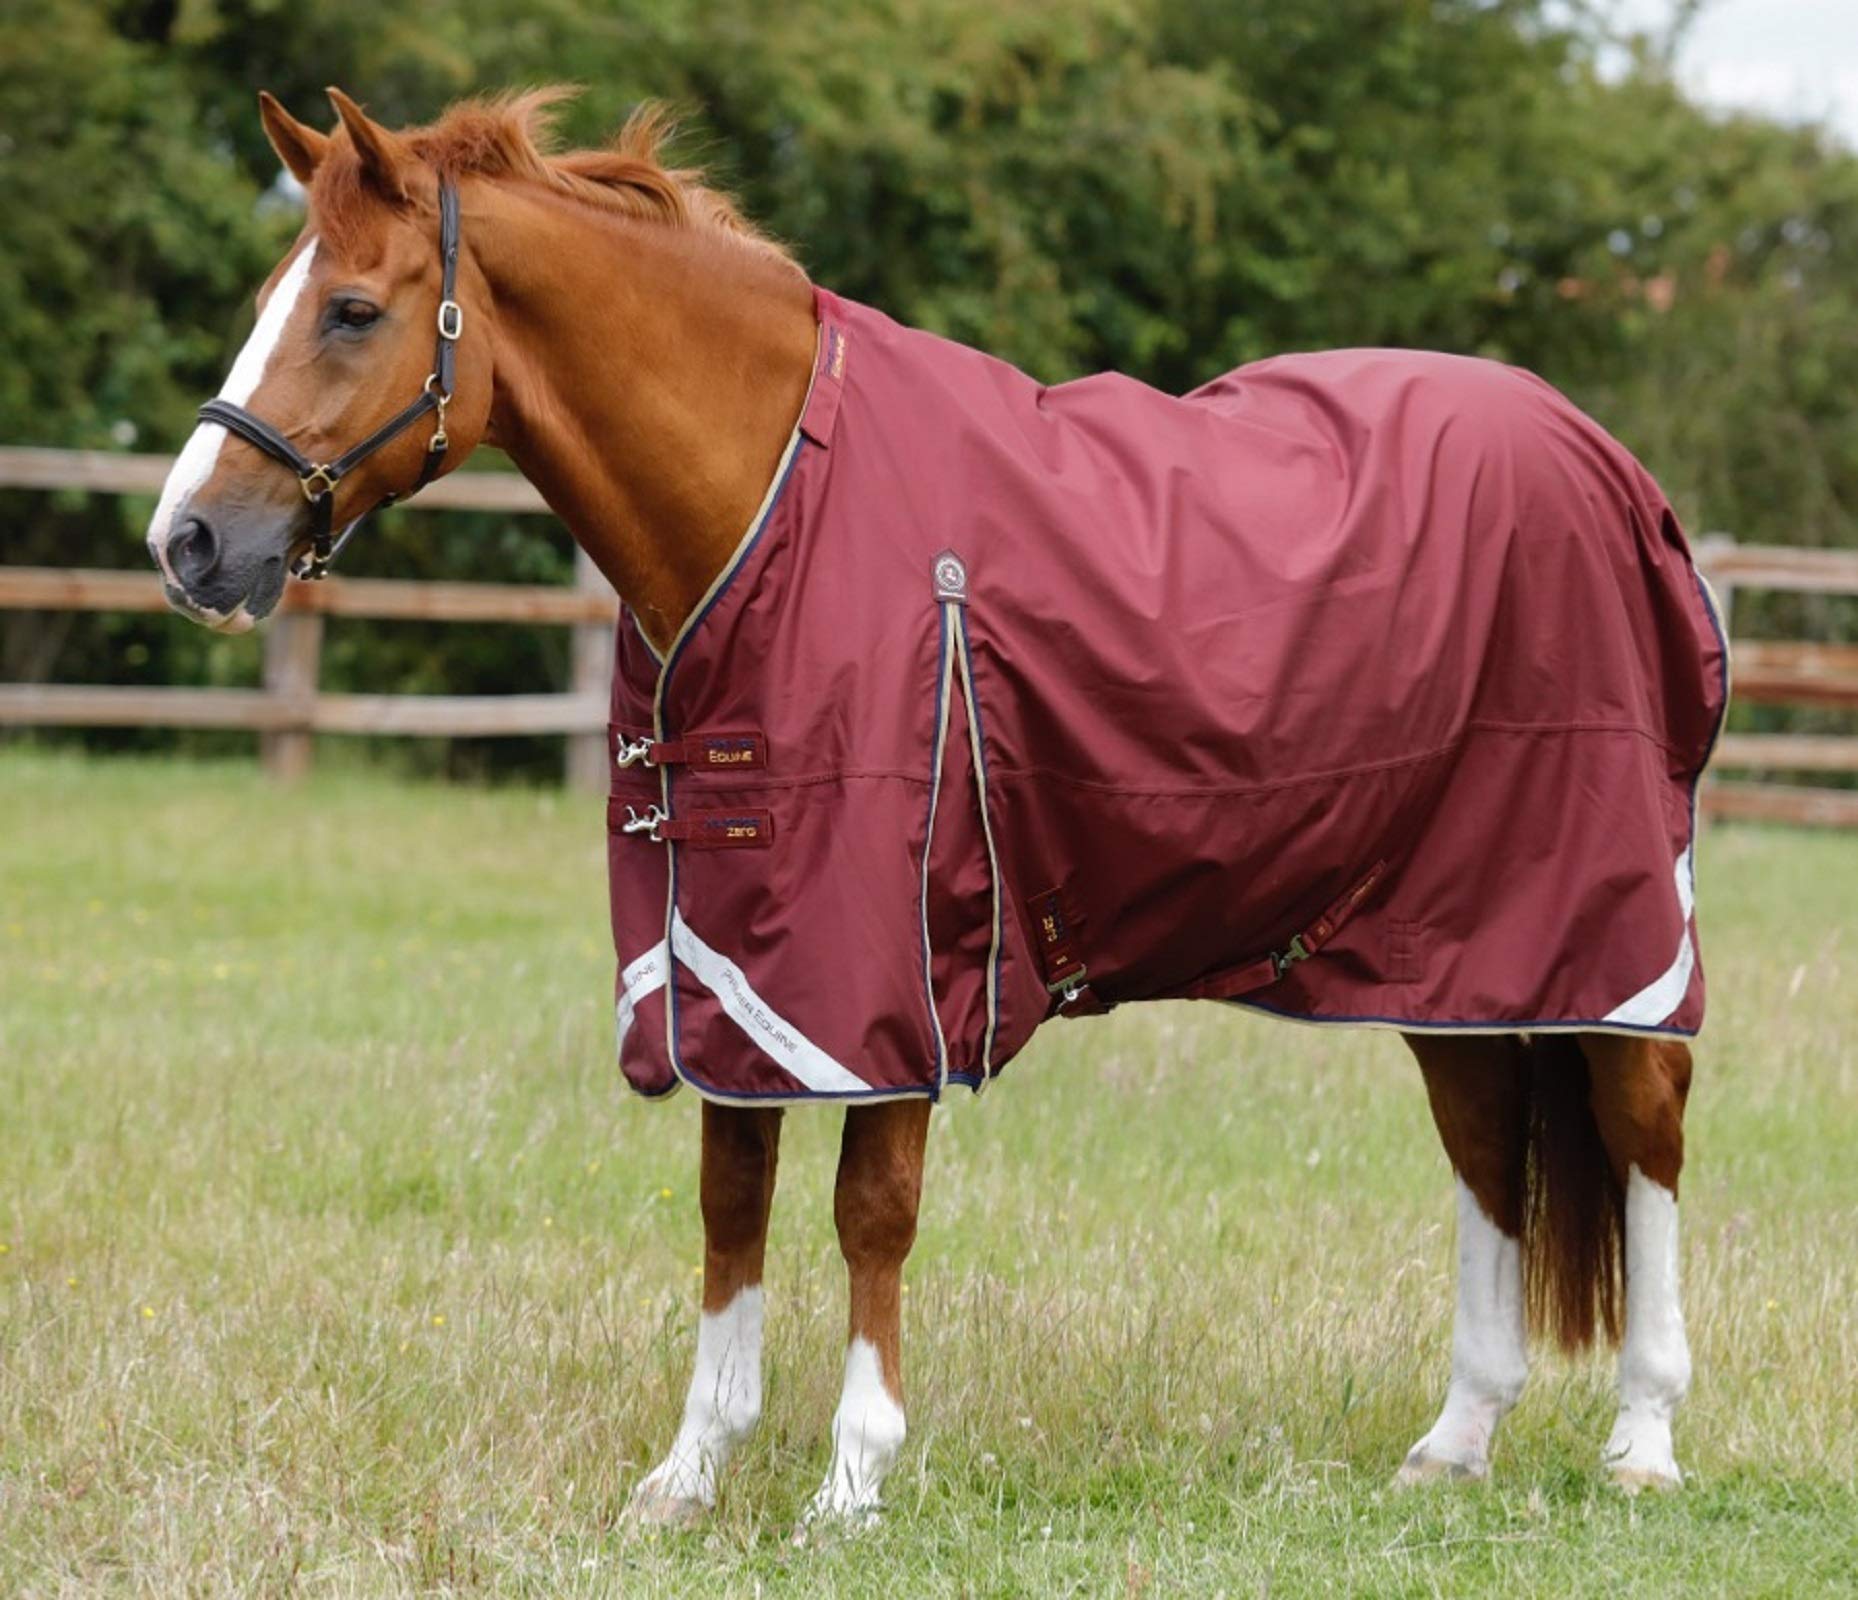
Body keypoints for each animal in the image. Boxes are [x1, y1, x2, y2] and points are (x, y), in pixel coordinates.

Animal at [148, 88, 1719, 1524]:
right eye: (269, 299)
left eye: (353, 310)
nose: (188, 541)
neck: (773, 499)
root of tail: (1604, 461)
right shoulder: (729, 960)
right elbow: (730, 1199)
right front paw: (688, 1474)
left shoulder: (883, 968)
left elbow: (870, 1213)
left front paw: (853, 1479)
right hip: (1447, 945)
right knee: (1484, 1141)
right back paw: (1455, 1439)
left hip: (1608, 927)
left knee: (1641, 1125)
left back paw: (1643, 1442)